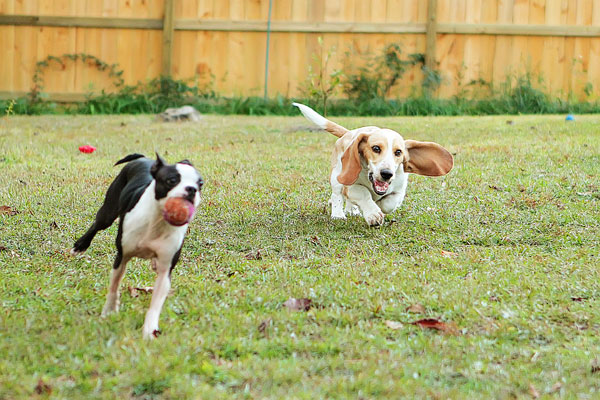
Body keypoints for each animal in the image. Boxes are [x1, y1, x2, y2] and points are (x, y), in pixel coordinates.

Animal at [71, 152, 203, 338]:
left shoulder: (165, 270)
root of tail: (143, 158)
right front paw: (109, 311)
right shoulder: (122, 256)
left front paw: (150, 329)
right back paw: (80, 245)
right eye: (171, 180)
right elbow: (114, 286)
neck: (157, 221)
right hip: (108, 211)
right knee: (97, 224)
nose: (192, 189)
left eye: (200, 184)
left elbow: (156, 303)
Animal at [292, 101, 452, 227]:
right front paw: (373, 213)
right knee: (337, 195)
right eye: (376, 148)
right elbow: (363, 193)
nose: (387, 174)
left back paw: (352, 210)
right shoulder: (350, 186)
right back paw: (338, 214)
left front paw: (379, 206)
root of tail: (349, 133)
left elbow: (389, 203)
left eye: (398, 152)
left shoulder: (399, 191)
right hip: (337, 176)